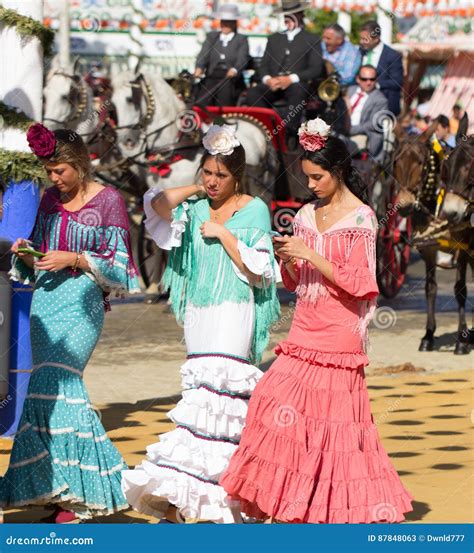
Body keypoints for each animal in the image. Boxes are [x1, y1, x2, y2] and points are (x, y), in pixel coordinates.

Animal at [392, 116, 470, 354]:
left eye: (421, 162)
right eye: (396, 162)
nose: (405, 205)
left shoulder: (463, 249)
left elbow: (460, 290)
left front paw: (462, 340)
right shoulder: (428, 249)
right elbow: (430, 289)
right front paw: (428, 335)